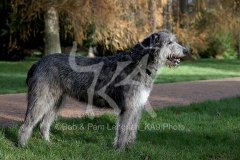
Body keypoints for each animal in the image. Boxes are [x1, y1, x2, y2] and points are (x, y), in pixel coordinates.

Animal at [18, 30, 188, 151]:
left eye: (175, 41)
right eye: (169, 42)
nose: (186, 51)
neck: (139, 64)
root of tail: (37, 62)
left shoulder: (137, 105)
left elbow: (132, 129)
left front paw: (131, 148)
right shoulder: (128, 106)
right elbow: (123, 131)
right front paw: (120, 151)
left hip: (56, 101)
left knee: (43, 125)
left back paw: (48, 144)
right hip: (41, 98)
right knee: (26, 125)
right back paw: (22, 146)